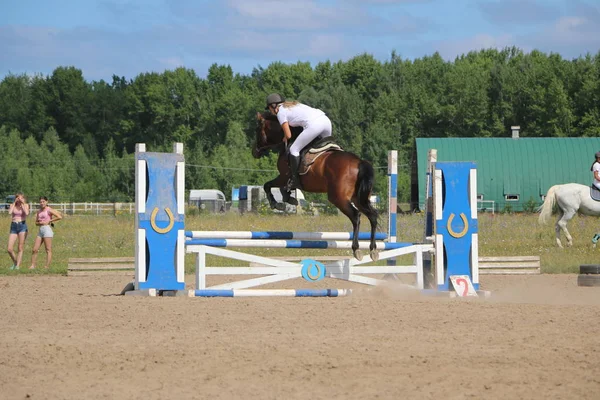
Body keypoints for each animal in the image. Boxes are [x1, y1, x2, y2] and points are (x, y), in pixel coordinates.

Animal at [253, 111, 380, 260]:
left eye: (257, 130)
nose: (254, 152)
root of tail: (359, 163)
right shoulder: (285, 178)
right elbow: (279, 188)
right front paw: (289, 198)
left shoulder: (283, 176)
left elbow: (268, 185)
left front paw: (276, 203)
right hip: (359, 198)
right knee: (373, 216)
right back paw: (373, 249)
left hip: (338, 198)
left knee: (356, 216)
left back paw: (356, 249)